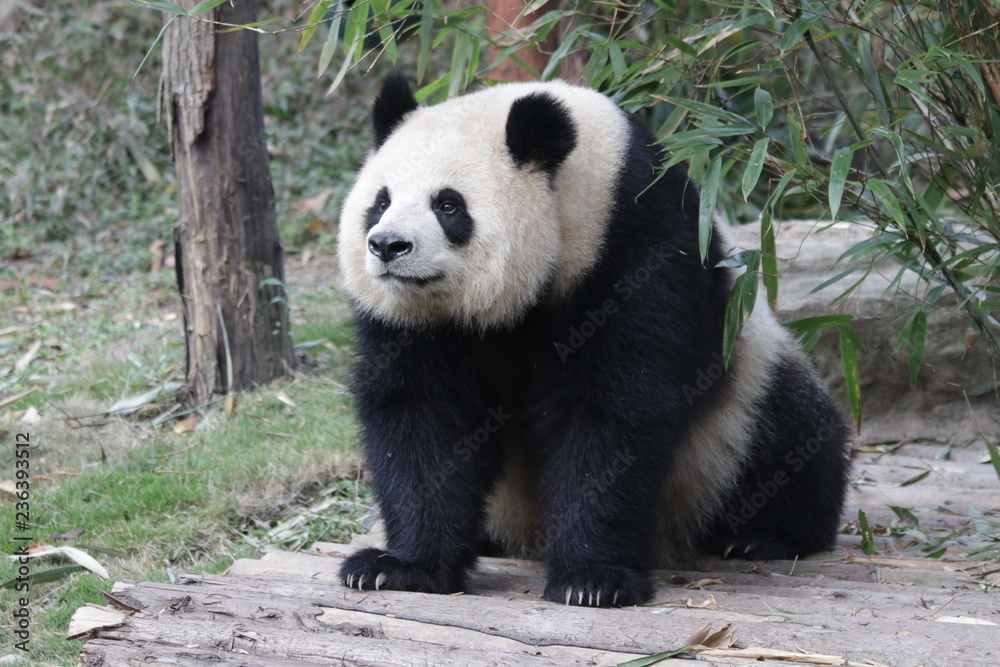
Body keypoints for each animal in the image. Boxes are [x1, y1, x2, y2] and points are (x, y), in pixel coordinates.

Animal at [336, 72, 852, 604]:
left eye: (448, 204)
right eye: (380, 202)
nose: (388, 245)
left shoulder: (634, 248)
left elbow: (611, 407)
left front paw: (591, 579)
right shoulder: (418, 326)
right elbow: (421, 418)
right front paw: (398, 566)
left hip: (744, 377)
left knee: (788, 437)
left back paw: (763, 536)